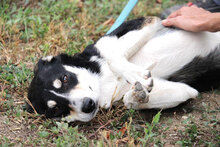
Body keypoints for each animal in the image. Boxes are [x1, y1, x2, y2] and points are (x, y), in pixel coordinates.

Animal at [27, 17, 220, 122]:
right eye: (56, 110)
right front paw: (137, 96)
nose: (88, 105)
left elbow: (112, 58)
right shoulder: (185, 90)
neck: (102, 84)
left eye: (65, 78)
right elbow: (128, 101)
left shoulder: (146, 22)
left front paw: (137, 76)